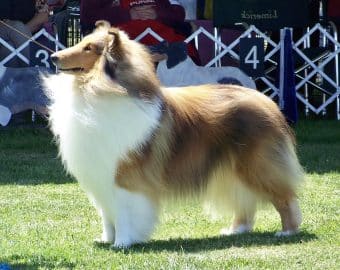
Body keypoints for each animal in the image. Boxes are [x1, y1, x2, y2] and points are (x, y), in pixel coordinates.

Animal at [44, 21, 302, 249]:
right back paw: (236, 229)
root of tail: (267, 101)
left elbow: (124, 213)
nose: (53, 57)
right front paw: (107, 239)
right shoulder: (101, 174)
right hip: (232, 169)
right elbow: (107, 214)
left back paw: (287, 231)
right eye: (81, 42)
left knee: (285, 197)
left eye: (88, 48)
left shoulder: (125, 176)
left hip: (258, 166)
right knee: (244, 199)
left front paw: (122, 243)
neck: (97, 88)